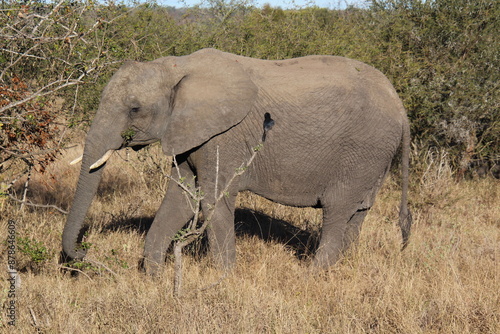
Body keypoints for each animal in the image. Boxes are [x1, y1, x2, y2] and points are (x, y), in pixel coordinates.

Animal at [61, 49, 410, 274]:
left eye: (134, 109)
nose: (84, 255)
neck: (176, 66)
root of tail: (400, 105)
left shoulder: (223, 135)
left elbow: (213, 198)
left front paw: (225, 280)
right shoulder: (189, 132)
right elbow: (182, 196)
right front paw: (154, 278)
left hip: (361, 151)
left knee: (337, 211)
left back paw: (311, 276)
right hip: (374, 158)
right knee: (358, 213)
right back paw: (341, 268)